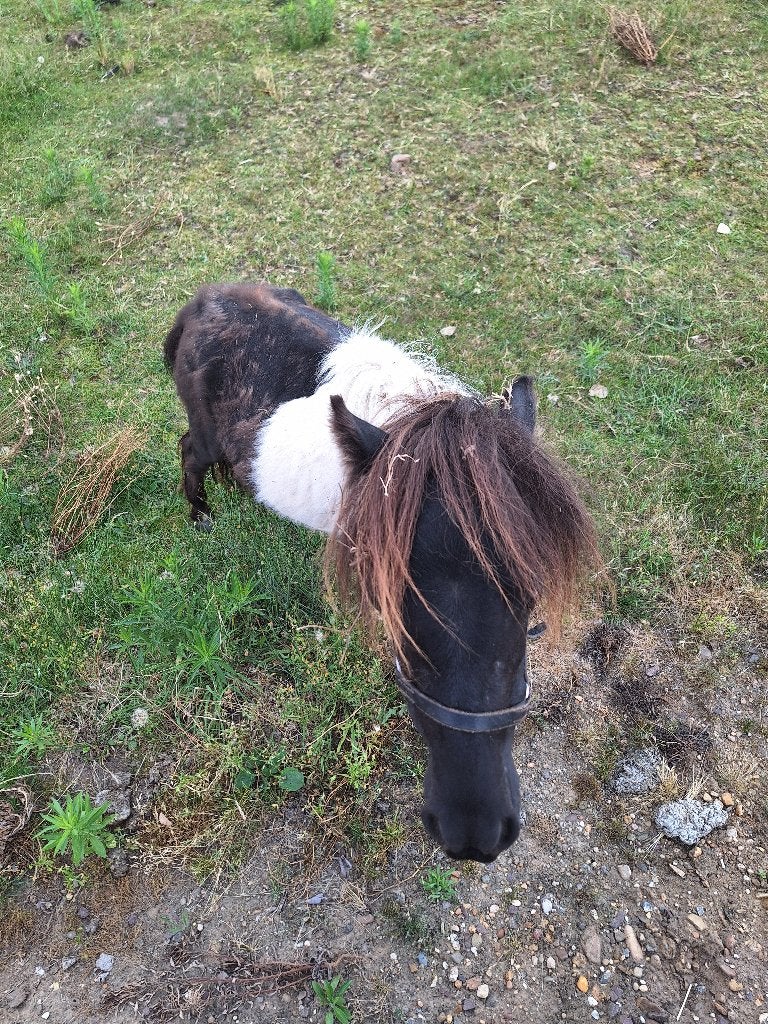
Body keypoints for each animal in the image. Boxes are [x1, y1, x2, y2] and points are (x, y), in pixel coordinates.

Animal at [164, 282, 599, 862]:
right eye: (391, 596)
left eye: (533, 593)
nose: (475, 832)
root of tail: (201, 303)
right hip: (203, 431)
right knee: (190, 452)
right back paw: (201, 516)